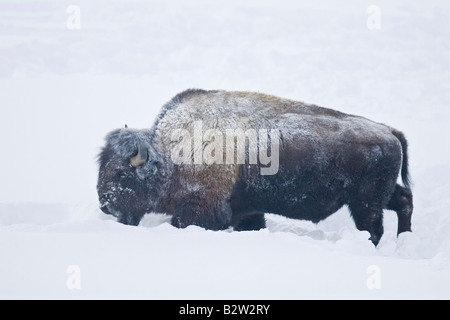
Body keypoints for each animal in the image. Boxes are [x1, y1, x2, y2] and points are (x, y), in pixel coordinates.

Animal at [96, 89, 414, 246]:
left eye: (122, 173)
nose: (104, 204)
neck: (171, 152)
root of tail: (390, 132)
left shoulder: (199, 210)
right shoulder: (247, 210)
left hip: (365, 203)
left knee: (374, 227)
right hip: (379, 196)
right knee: (404, 201)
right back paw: (404, 240)